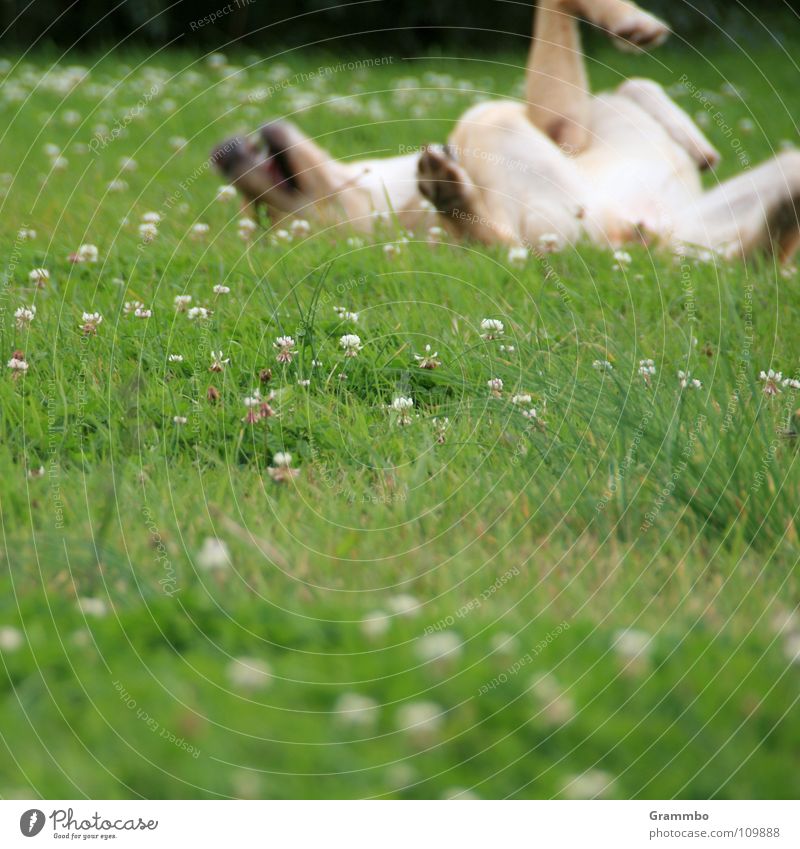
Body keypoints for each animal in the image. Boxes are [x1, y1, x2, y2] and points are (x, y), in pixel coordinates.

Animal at [211, 0, 800, 262]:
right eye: (265, 217)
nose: (221, 153)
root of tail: (636, 239)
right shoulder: (555, 125)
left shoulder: (568, 126)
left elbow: (630, 83)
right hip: (507, 154)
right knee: (503, 240)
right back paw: (453, 197)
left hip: (712, 221)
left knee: (759, 246)